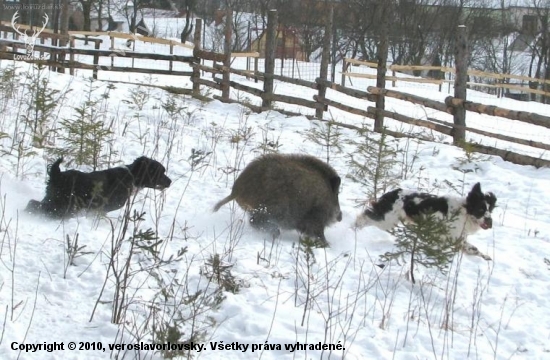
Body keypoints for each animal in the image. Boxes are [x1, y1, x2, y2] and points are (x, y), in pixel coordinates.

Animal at [25, 157, 171, 218]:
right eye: (161, 172)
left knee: (32, 204)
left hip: (52, 198)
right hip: (64, 203)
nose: (170, 182)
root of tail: (58, 174)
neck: (131, 176)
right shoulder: (106, 206)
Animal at [356, 184, 498, 260]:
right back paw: (354, 229)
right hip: (387, 219)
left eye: (490, 209)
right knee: (364, 216)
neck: (464, 211)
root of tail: (394, 192)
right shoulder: (454, 237)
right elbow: (474, 248)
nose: (489, 221)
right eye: (480, 209)